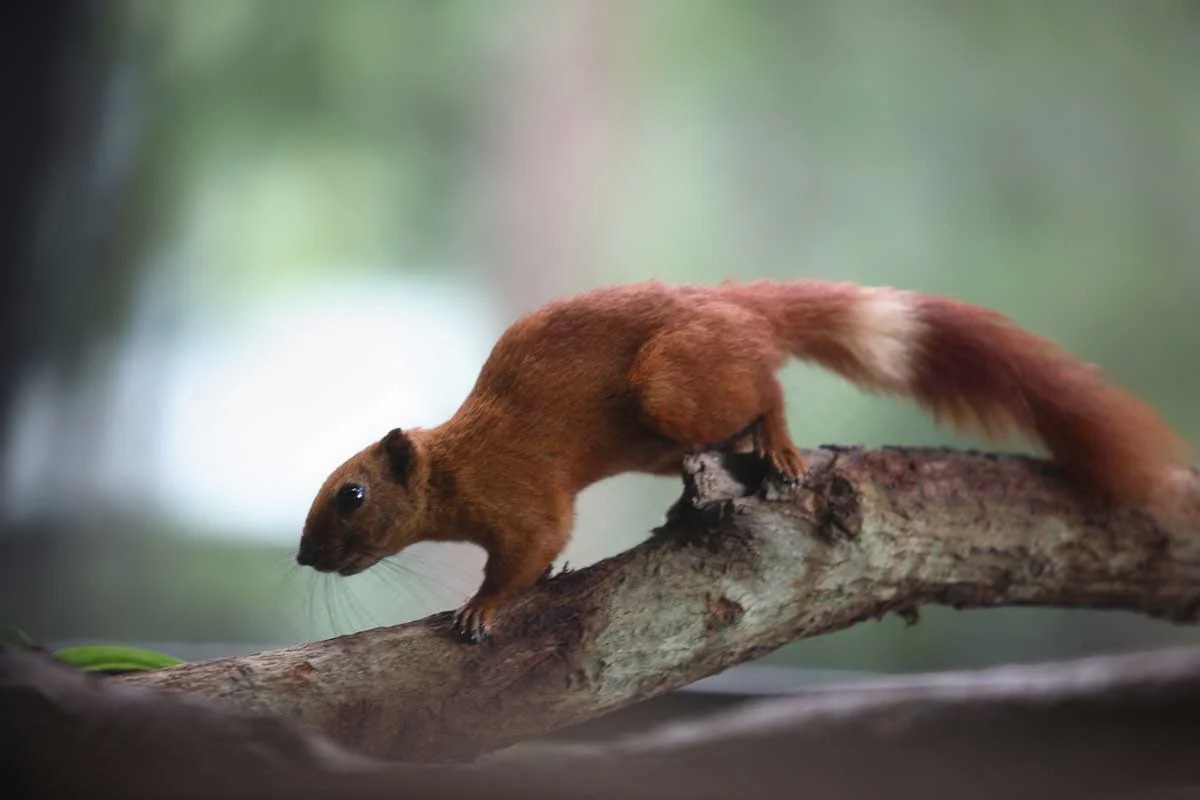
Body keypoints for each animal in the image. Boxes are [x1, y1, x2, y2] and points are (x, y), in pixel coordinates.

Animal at [297, 279, 1191, 642]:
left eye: (351, 495)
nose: (304, 557)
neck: (457, 464)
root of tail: (730, 304)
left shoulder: (524, 495)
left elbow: (531, 551)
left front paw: (482, 608)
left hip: (673, 387)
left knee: (768, 384)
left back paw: (782, 443)